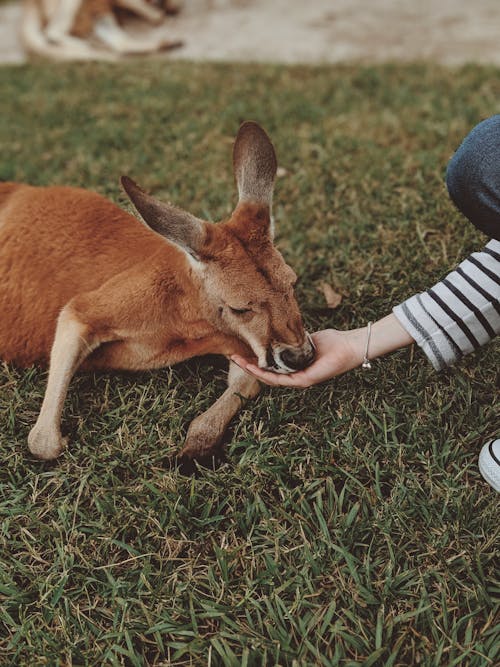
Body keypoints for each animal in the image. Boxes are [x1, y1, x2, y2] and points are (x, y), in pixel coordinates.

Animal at [22, 0, 184, 60]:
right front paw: (160, 16)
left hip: (99, 13)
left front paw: (170, 7)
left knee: (120, 43)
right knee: (53, 32)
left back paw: (167, 44)